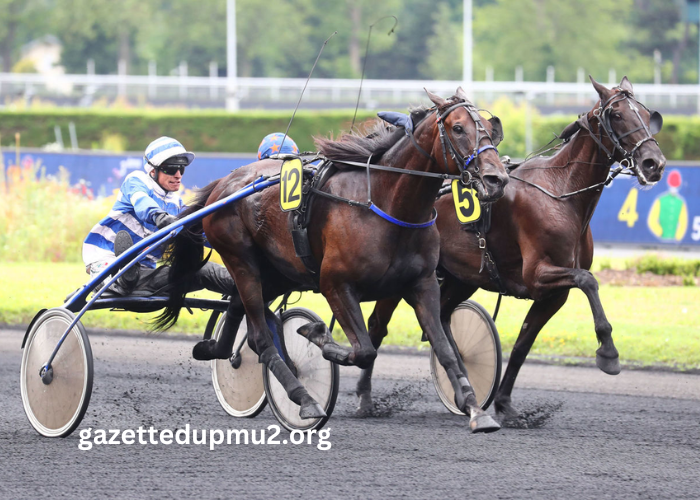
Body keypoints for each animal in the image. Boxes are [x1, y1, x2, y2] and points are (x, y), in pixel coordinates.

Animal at [157, 88, 508, 432]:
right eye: (458, 128)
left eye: (490, 129)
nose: (497, 179)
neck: (386, 205)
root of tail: (223, 184)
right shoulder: (335, 283)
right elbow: (364, 350)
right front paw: (316, 335)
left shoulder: (422, 284)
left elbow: (445, 349)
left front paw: (476, 409)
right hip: (241, 260)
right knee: (260, 336)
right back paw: (304, 399)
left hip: (278, 271)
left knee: (238, 308)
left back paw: (215, 349)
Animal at [360, 77, 668, 422]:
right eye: (616, 114)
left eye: (647, 114)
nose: (654, 163)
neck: (560, 192)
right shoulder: (537, 274)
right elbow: (588, 281)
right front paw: (608, 353)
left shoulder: (553, 294)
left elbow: (523, 343)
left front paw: (505, 404)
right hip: (404, 275)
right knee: (378, 325)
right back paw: (365, 398)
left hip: (461, 277)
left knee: (442, 316)